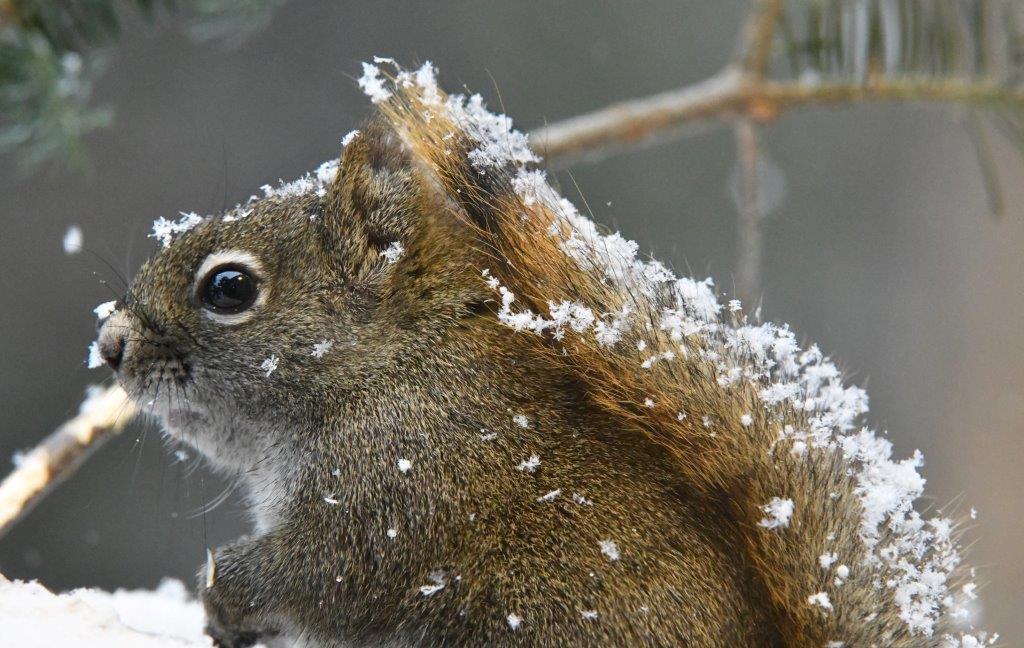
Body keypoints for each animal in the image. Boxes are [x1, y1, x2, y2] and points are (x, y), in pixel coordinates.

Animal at [94, 62, 987, 647]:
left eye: (230, 288)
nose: (109, 344)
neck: (387, 372)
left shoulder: (403, 487)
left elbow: (332, 573)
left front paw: (227, 589)